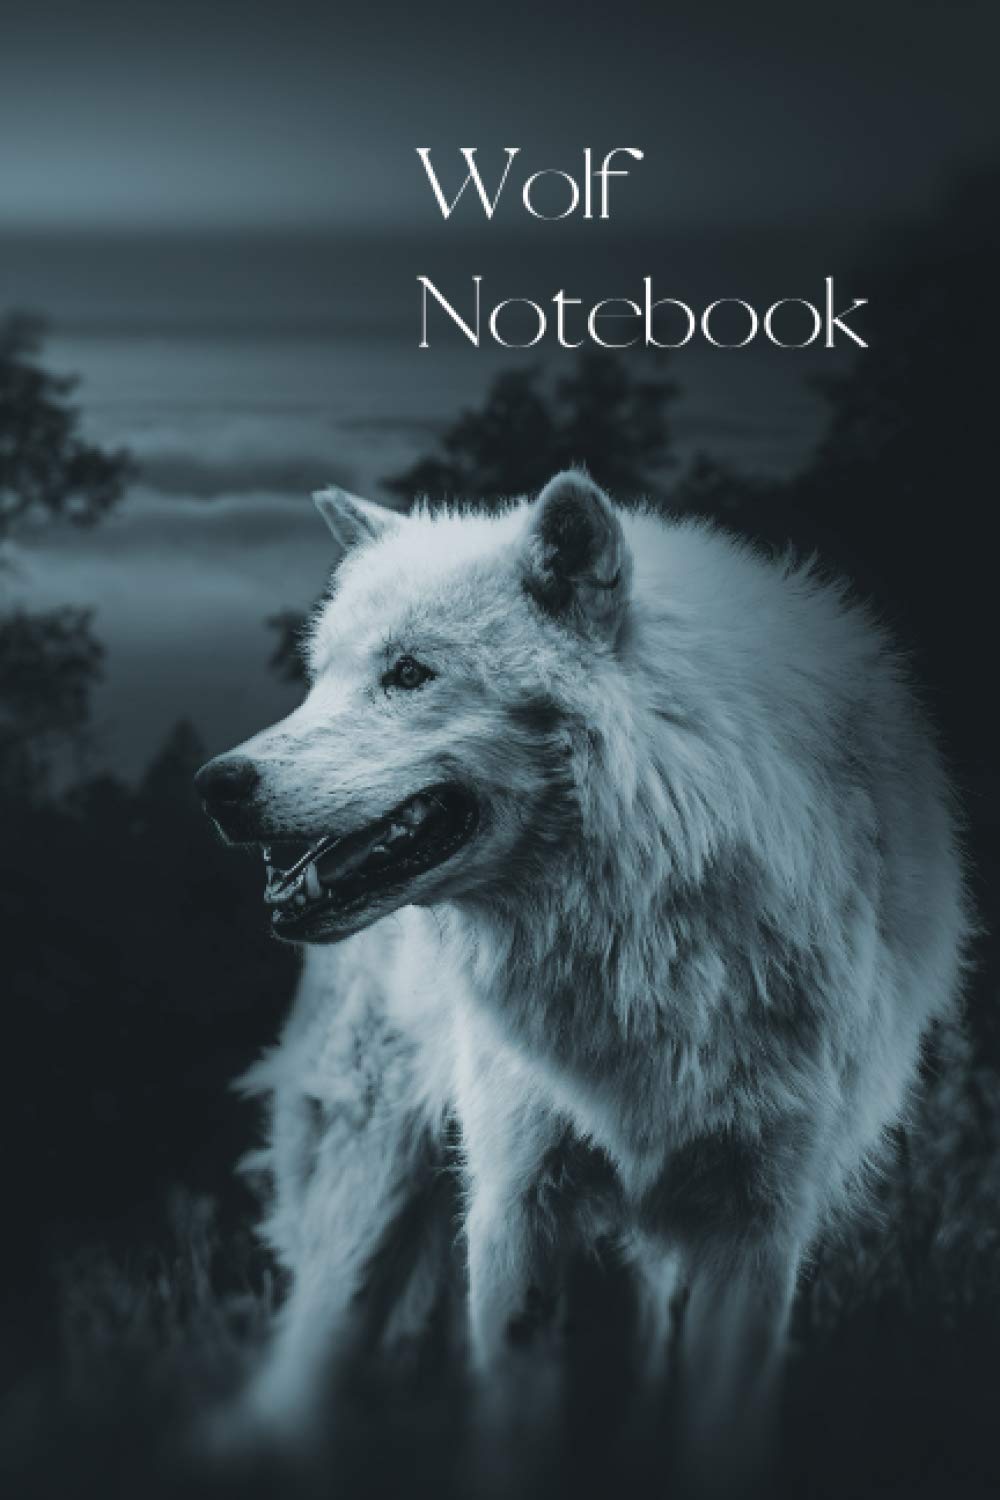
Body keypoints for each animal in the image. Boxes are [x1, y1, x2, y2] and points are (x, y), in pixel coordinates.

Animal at [196, 471, 968, 1468]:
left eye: (409, 673)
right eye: (320, 677)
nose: (216, 784)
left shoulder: (758, 1229)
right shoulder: (513, 1207)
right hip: (369, 1187)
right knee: (315, 1356)